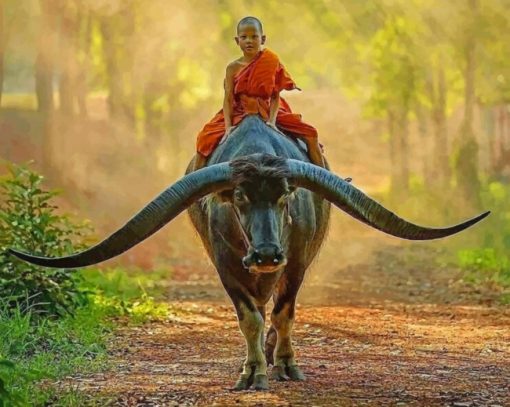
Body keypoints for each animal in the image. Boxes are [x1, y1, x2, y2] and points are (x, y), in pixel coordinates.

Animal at [6, 115, 486, 392]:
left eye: (285, 195)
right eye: (238, 197)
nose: (268, 253)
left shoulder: (296, 262)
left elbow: (284, 312)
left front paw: (286, 364)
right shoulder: (226, 266)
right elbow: (249, 317)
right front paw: (253, 371)